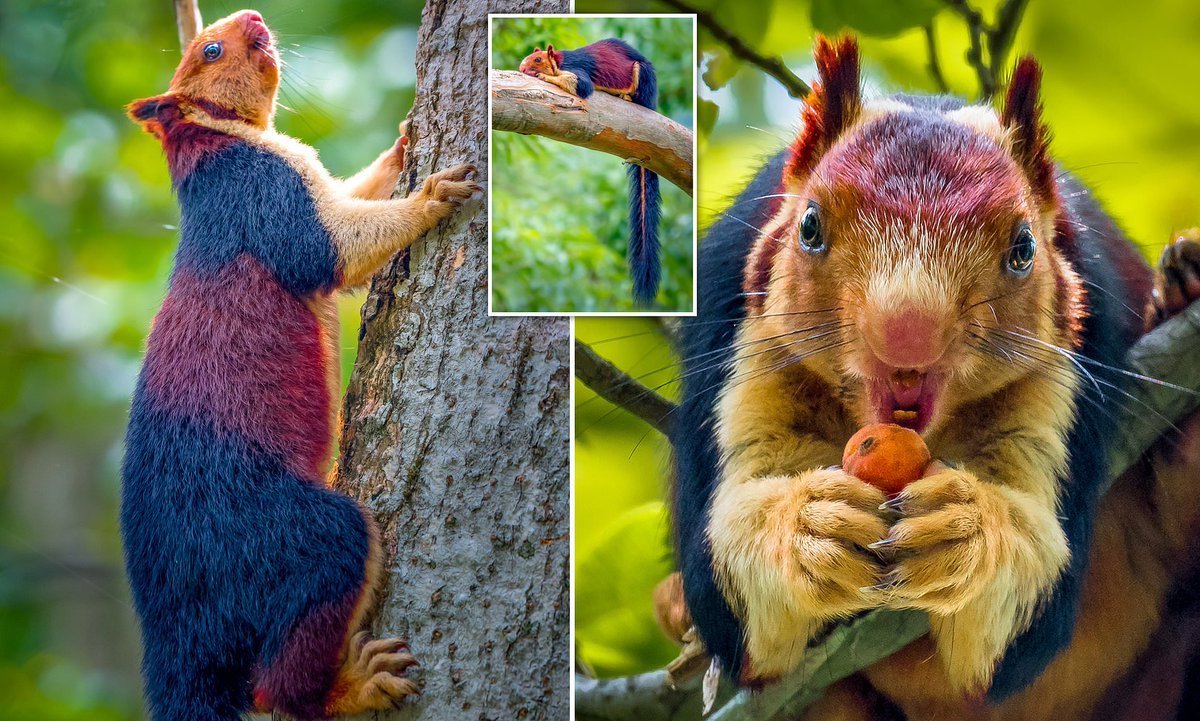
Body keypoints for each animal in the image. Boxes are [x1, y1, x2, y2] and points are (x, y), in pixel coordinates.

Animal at [120, 10, 480, 721]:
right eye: (209, 49)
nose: (256, 18)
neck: (219, 139)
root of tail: (180, 629)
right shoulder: (262, 199)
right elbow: (336, 246)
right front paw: (430, 194)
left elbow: (350, 193)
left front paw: (405, 143)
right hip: (293, 537)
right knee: (279, 687)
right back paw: (357, 685)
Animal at [519, 39, 662, 305]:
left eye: (538, 59)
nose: (522, 68)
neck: (561, 60)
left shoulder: (577, 70)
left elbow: (580, 85)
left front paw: (542, 75)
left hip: (643, 76)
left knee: (641, 97)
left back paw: (629, 96)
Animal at [669, 35, 1200, 721]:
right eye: (809, 225)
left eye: (1024, 247)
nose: (908, 334)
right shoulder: (732, 327)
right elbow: (736, 614)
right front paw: (807, 525)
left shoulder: (1078, 367)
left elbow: (1021, 620)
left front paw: (966, 531)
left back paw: (1183, 289)